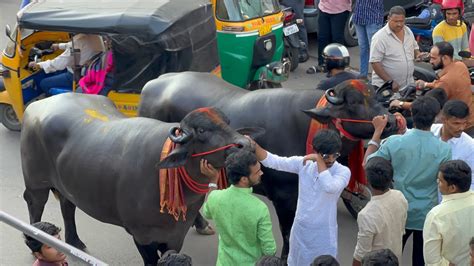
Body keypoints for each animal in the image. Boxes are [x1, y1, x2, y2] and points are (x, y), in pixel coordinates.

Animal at [20, 93, 258, 264]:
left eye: (228, 122)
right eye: (201, 130)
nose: (246, 144)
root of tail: (37, 105)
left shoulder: (176, 234)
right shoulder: (141, 234)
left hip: (67, 183)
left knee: (68, 206)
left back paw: (74, 241)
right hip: (36, 182)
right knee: (35, 204)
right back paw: (35, 241)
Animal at [138, 71, 404, 258]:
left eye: (376, 96)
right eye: (354, 102)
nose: (391, 121)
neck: (307, 125)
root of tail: (154, 83)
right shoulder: (284, 196)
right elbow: (287, 230)